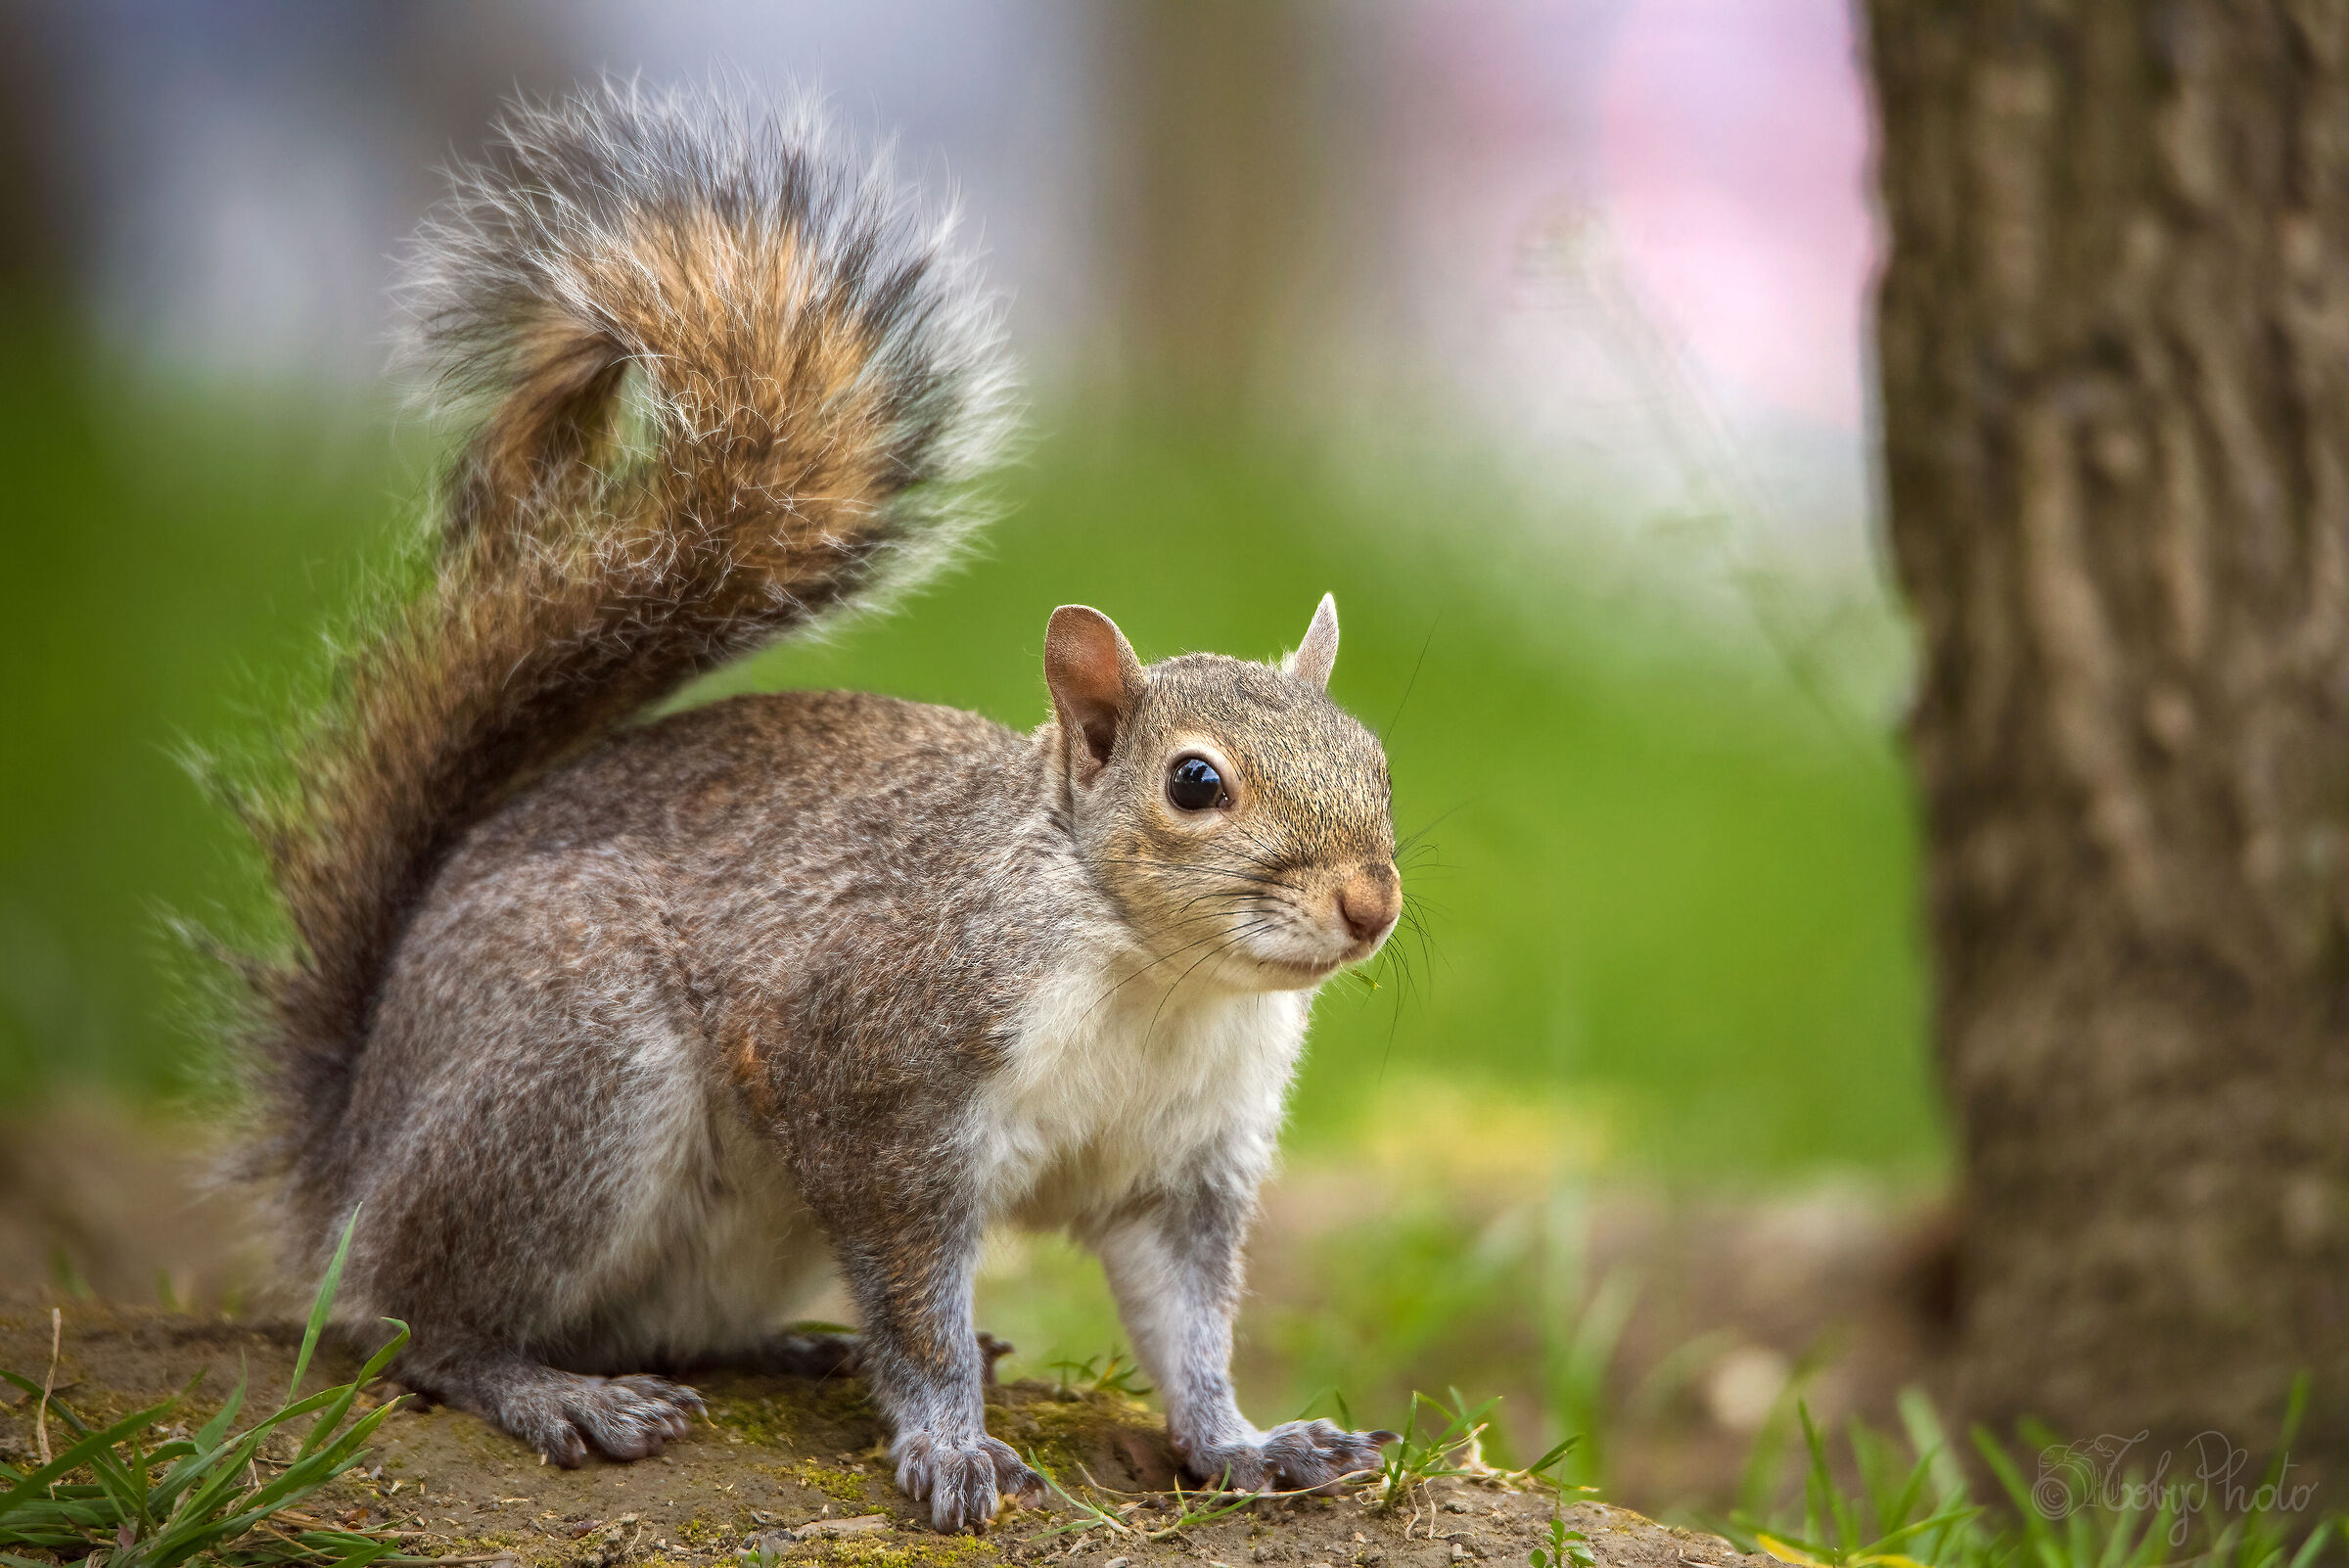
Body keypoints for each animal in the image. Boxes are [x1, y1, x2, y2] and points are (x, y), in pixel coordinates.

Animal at [228, 82, 1405, 1534]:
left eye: (1377, 758)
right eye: (1196, 783)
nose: (1370, 903)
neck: (1152, 976)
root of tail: (352, 1149)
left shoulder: (1178, 1168)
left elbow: (1186, 1326)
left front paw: (1244, 1441)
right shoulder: (873, 1087)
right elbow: (917, 1304)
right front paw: (951, 1444)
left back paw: (792, 1348)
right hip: (572, 1072)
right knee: (420, 1317)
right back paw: (552, 1390)